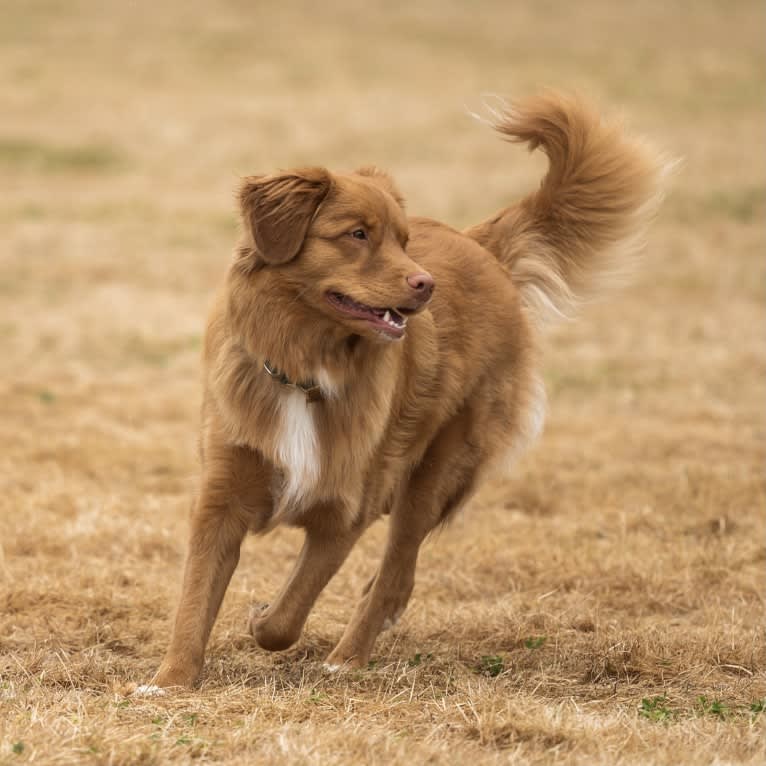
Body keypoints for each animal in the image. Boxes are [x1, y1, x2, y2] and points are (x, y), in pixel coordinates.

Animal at [147, 93, 668, 692]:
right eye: (357, 234)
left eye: (401, 240)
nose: (426, 285)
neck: (307, 370)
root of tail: (480, 247)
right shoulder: (221, 496)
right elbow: (195, 600)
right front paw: (170, 681)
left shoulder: (347, 510)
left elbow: (287, 615)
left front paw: (261, 620)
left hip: (435, 474)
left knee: (397, 574)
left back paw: (347, 658)